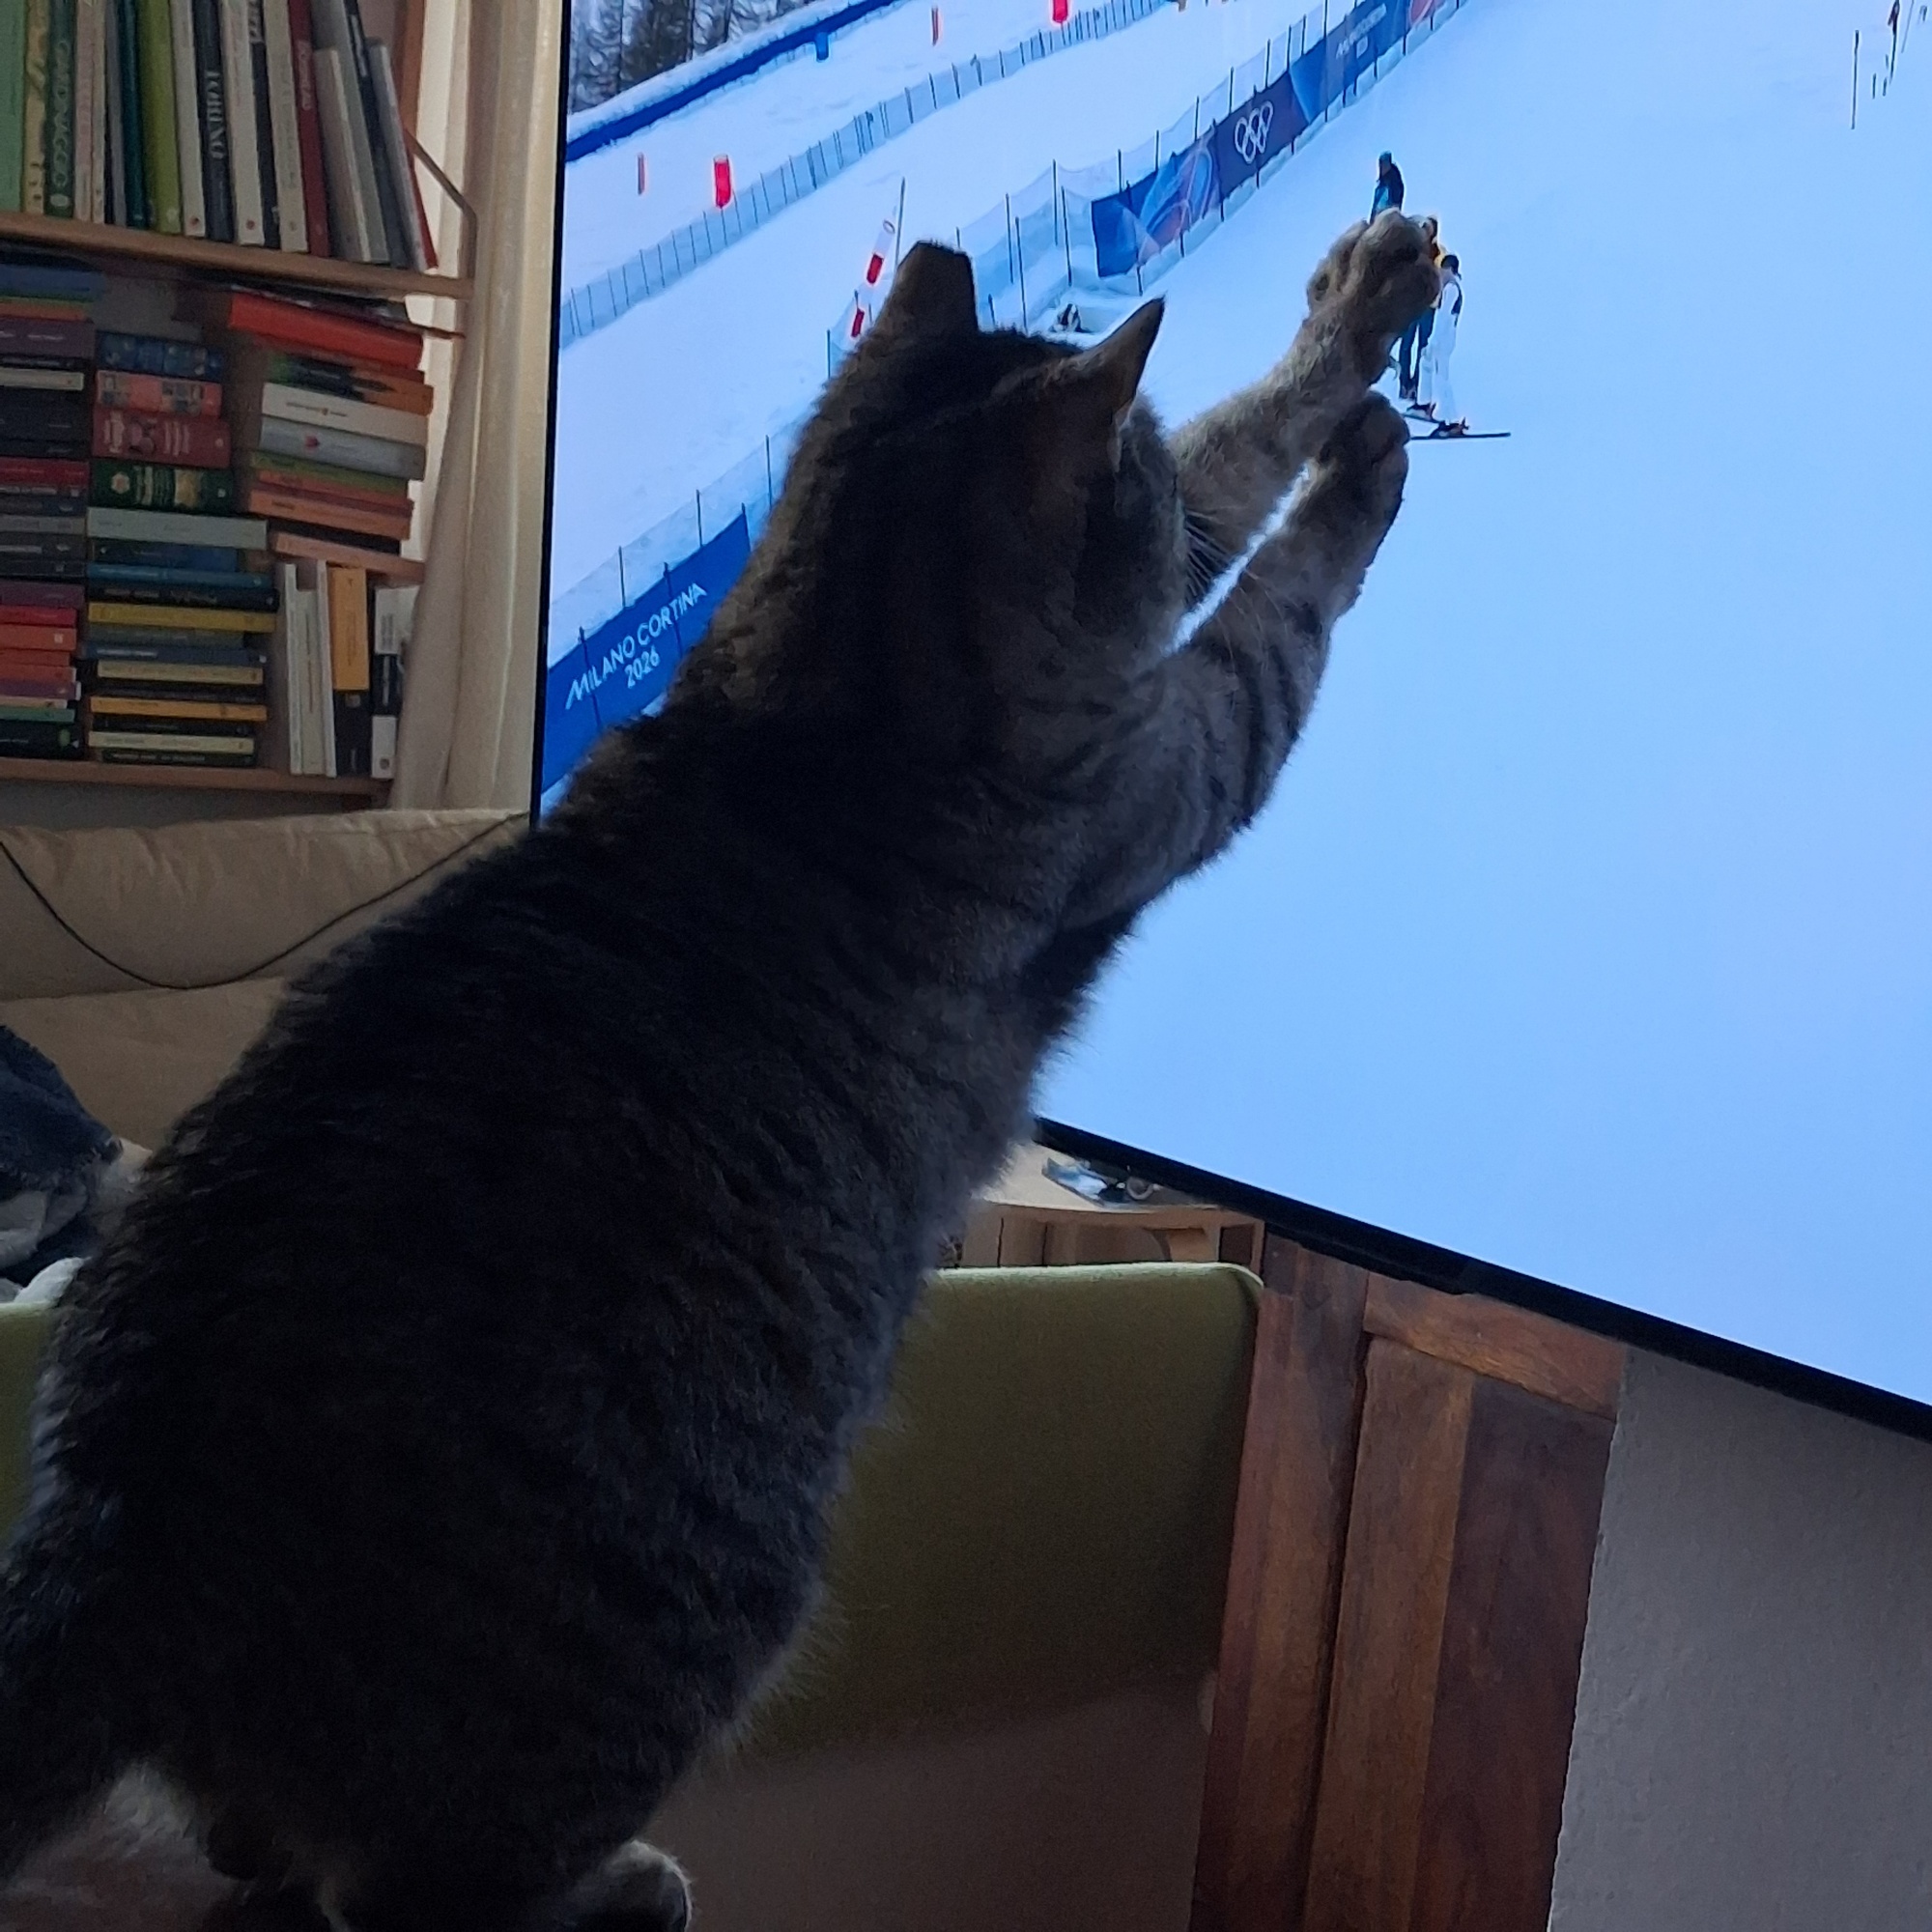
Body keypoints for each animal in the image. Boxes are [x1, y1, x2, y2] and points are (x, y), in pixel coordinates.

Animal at [0, 212, 1436, 1931]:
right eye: (1129, 478)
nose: (1144, 498)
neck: (817, 667)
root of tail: (118, 1530)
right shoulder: (1182, 751)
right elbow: (1273, 595)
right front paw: (1364, 470)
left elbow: (1245, 449)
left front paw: (1357, 317)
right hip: (685, 1616)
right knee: (419, 1894)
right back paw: (628, 1884)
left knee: (257, 1843)